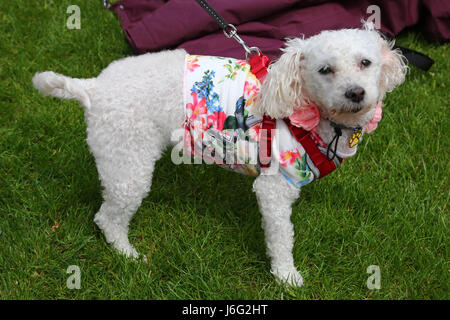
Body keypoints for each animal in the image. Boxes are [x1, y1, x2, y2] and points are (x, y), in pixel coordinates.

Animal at [30, 23, 404, 286]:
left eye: (365, 63)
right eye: (325, 70)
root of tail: (92, 88)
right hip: (127, 163)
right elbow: (281, 237)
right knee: (108, 218)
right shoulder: (273, 188)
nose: (355, 93)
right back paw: (128, 255)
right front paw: (286, 277)